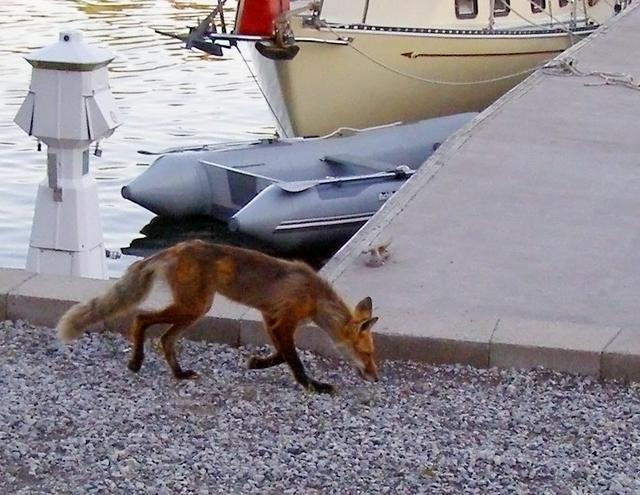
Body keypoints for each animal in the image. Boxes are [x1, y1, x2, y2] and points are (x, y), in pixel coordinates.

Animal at [57, 240, 378, 396]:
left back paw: (179, 374)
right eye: (366, 353)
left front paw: (257, 363)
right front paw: (314, 386)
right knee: (141, 318)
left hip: (195, 310)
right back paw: (136, 362)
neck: (314, 298)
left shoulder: (270, 317)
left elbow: (280, 355)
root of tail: (174, 248)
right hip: (194, 307)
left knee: (165, 339)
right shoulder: (283, 321)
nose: (376, 377)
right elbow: (294, 361)